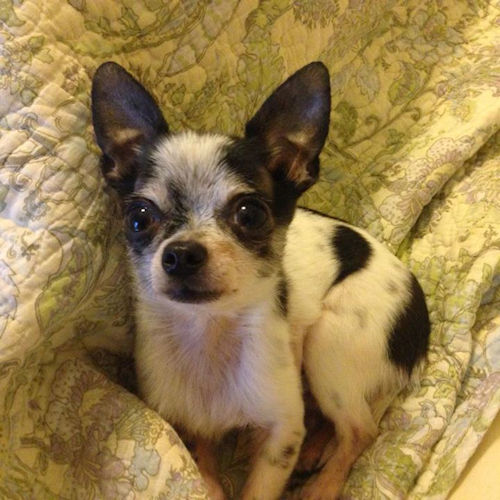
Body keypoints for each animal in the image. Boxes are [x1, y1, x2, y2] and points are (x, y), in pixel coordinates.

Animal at [91, 61, 430, 499]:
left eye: (249, 214)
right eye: (139, 219)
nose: (181, 254)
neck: (209, 333)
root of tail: (419, 318)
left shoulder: (280, 433)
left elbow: (260, 487)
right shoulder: (189, 424)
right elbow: (205, 472)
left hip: (330, 342)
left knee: (360, 430)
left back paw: (323, 485)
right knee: (338, 421)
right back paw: (315, 451)